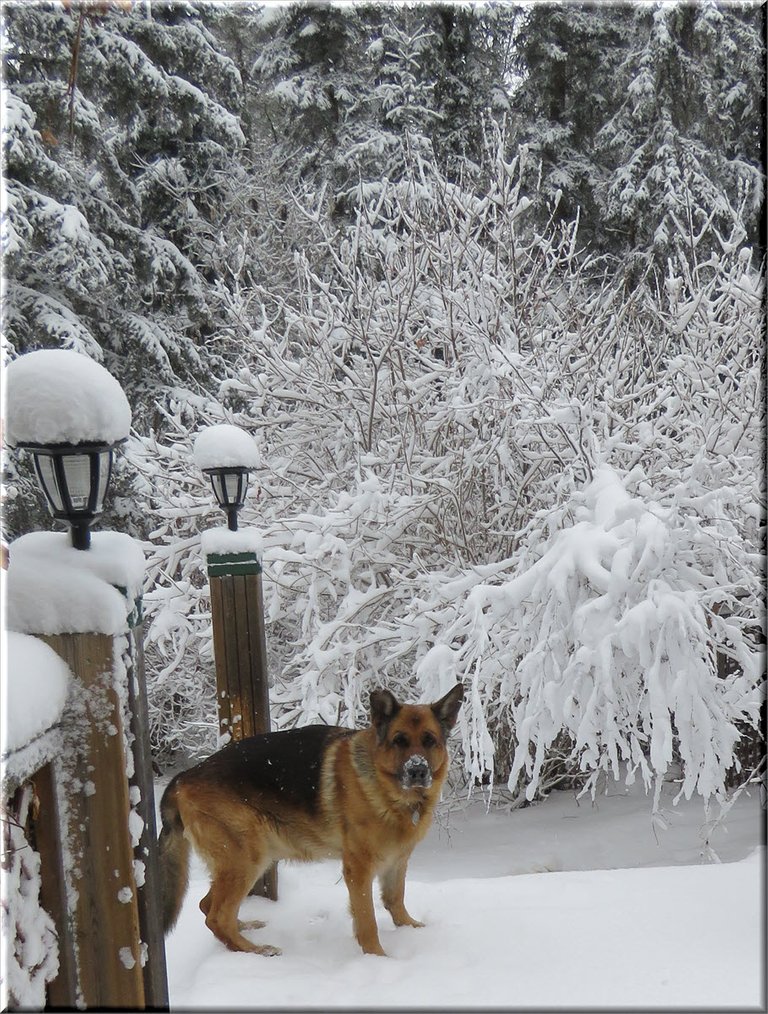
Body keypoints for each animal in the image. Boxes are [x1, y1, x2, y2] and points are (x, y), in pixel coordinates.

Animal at [157, 685, 460, 953]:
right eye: (399, 740)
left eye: (429, 741)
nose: (418, 771)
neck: (387, 788)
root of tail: (182, 777)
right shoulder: (359, 868)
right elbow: (367, 921)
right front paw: (378, 958)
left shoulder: (397, 859)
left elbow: (396, 900)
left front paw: (412, 930)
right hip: (247, 858)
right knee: (216, 916)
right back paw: (255, 950)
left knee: (208, 906)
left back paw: (244, 930)